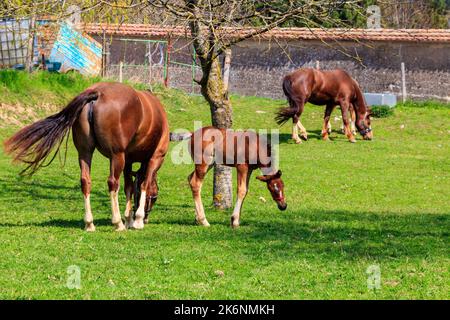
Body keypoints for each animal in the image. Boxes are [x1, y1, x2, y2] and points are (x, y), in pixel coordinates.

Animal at [3, 82, 169, 232]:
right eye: (155, 197)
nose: (147, 218)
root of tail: (97, 93)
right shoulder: (154, 158)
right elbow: (143, 184)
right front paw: (137, 220)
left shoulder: (128, 161)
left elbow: (129, 188)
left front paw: (129, 219)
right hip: (116, 156)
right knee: (112, 183)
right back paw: (117, 223)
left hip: (85, 153)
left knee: (85, 181)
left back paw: (89, 223)